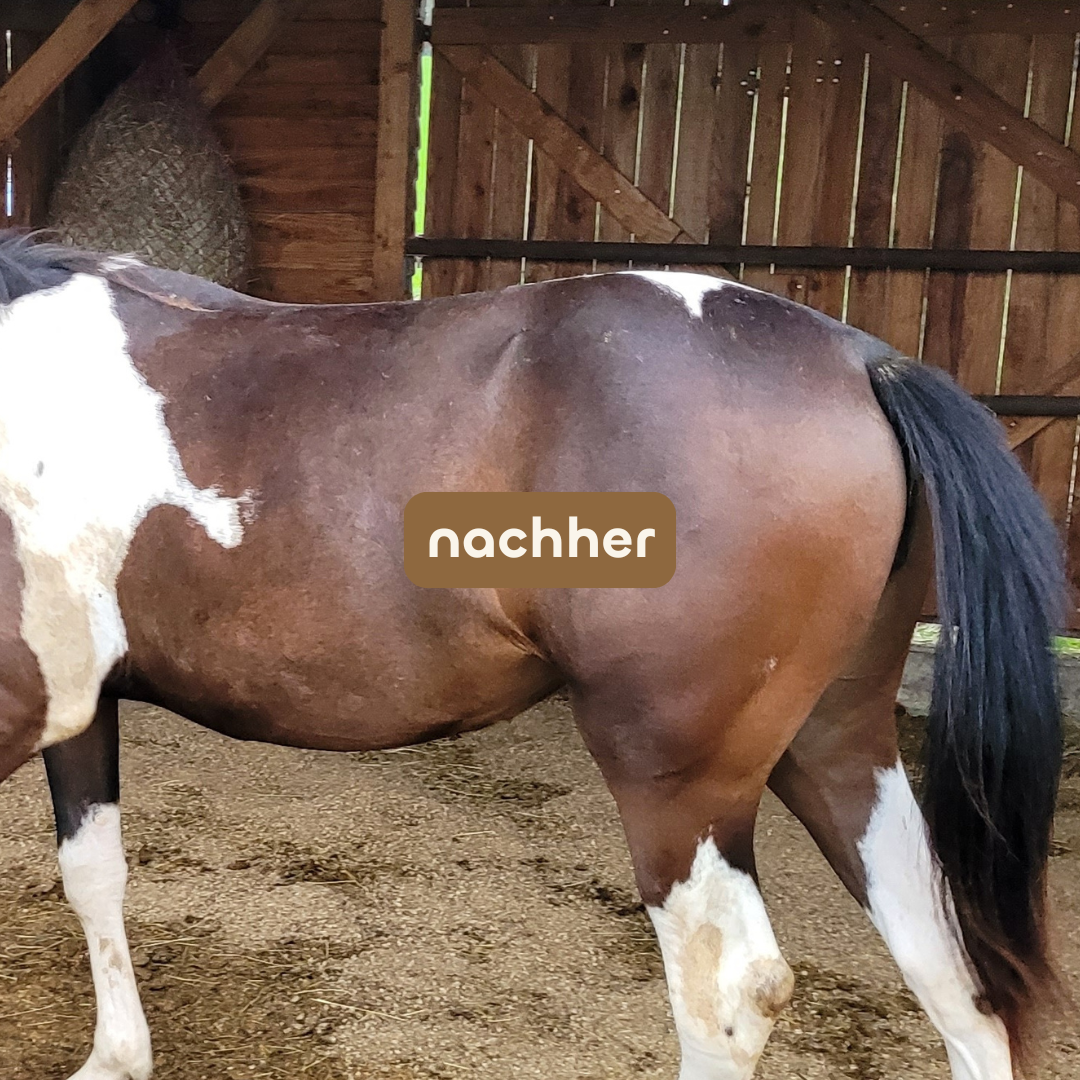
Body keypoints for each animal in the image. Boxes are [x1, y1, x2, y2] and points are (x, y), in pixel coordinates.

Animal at [0, 230, 1064, 1080]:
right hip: (838, 745)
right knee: (949, 967)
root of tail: (861, 361)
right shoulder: (81, 705)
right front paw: (115, 1060)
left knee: (727, 996)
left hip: (680, 782)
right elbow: (93, 871)